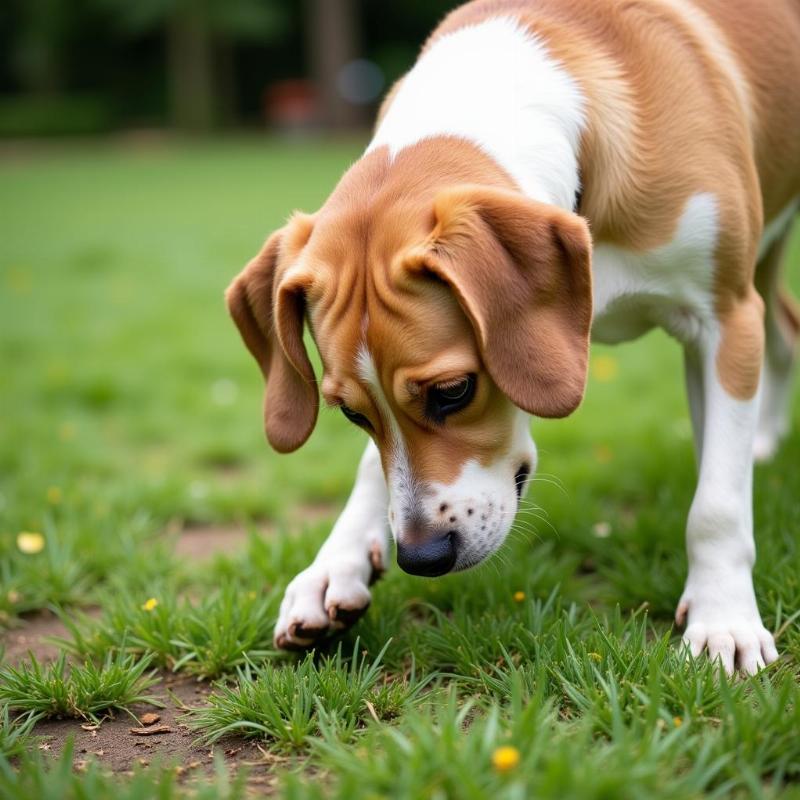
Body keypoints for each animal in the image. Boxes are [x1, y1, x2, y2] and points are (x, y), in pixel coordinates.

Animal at [227, 0, 800, 676]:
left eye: (454, 390)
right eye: (348, 414)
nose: (421, 558)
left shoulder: (723, 320)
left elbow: (715, 503)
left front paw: (723, 618)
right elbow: (373, 467)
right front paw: (334, 564)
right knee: (785, 332)